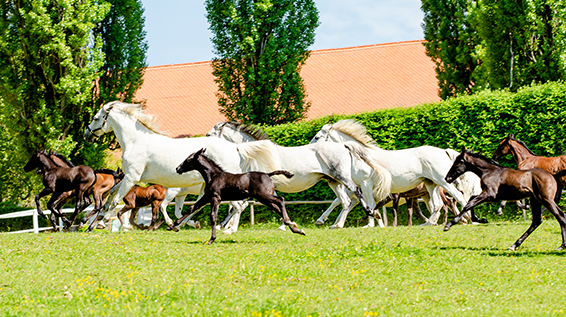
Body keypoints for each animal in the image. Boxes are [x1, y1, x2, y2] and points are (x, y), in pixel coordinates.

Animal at [83, 101, 282, 227]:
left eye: (95, 118)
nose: (86, 134)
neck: (136, 141)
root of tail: (235, 147)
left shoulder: (132, 177)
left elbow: (116, 200)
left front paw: (100, 223)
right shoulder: (130, 178)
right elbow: (111, 196)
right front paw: (91, 220)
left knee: (239, 206)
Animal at [169, 147, 306, 243]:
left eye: (188, 159)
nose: (178, 168)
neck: (213, 176)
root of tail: (268, 175)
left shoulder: (215, 198)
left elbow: (213, 216)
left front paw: (212, 239)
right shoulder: (207, 197)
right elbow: (192, 208)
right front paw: (172, 226)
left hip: (264, 196)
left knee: (281, 199)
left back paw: (289, 223)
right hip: (264, 199)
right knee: (278, 207)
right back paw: (297, 229)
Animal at [205, 122, 394, 228]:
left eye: (209, 134)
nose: (204, 143)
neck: (255, 152)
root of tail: (343, 145)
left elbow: (239, 205)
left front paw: (227, 227)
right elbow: (245, 205)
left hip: (342, 177)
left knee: (357, 193)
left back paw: (370, 214)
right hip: (333, 181)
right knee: (346, 201)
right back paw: (336, 225)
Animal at [310, 118, 474, 225]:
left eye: (317, 137)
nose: (308, 147)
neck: (361, 156)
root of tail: (444, 151)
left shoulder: (365, 185)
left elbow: (367, 205)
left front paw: (369, 224)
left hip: (442, 181)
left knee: (458, 197)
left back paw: (468, 219)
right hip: (430, 184)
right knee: (438, 205)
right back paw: (429, 224)